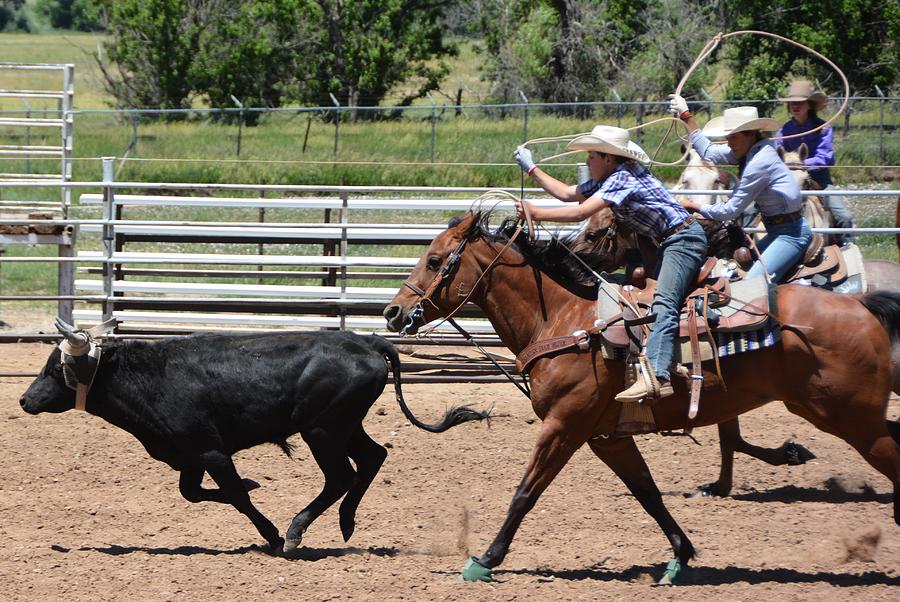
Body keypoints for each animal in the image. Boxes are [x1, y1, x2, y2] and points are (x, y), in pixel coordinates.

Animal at [384, 210, 900, 580]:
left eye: (435, 261)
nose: (393, 312)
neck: (566, 321)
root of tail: (862, 305)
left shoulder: (564, 427)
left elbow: (525, 492)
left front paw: (485, 559)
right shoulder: (606, 437)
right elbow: (646, 491)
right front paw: (681, 554)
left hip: (851, 419)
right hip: (855, 415)